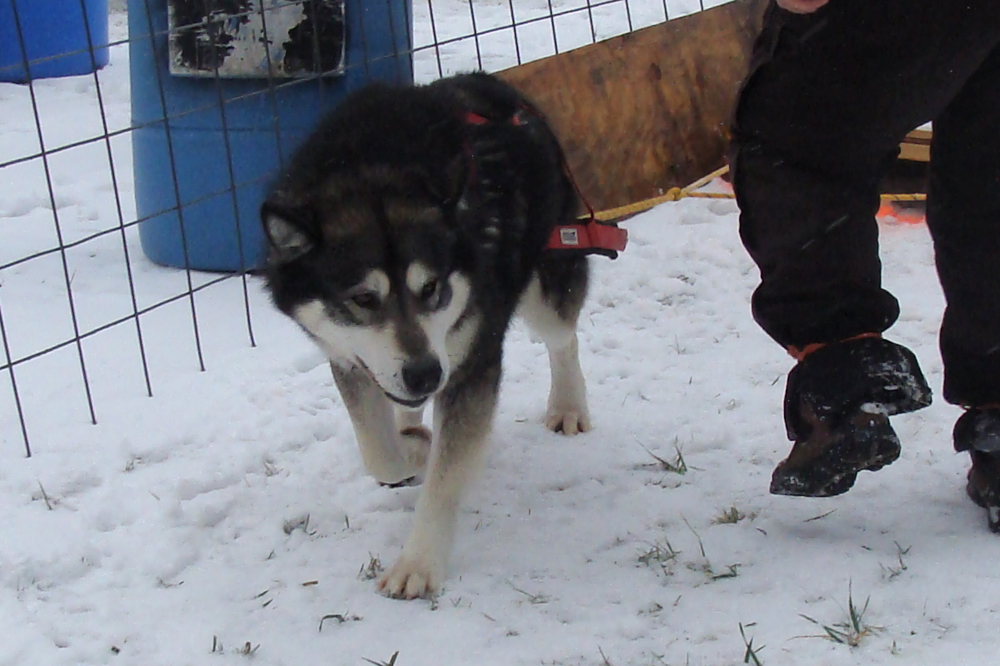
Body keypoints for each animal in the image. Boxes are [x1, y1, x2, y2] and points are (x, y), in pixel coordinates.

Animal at [262, 71, 592, 596]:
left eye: (431, 287)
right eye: (363, 299)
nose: (424, 374)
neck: (373, 167)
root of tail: (492, 83)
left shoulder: (472, 364)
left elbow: (445, 475)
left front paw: (419, 562)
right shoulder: (348, 357)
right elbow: (380, 455)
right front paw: (412, 446)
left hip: (546, 279)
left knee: (564, 337)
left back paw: (568, 405)